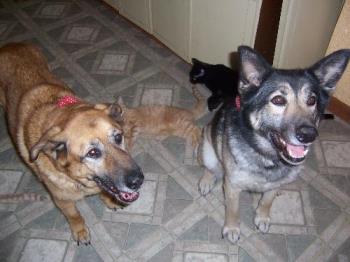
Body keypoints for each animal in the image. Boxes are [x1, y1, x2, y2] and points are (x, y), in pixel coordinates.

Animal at [0, 42, 144, 244]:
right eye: (92, 153)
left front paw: (108, 200)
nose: (138, 180)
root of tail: (9, 45)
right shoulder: (62, 200)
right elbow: (74, 215)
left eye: (118, 137)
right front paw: (80, 230)